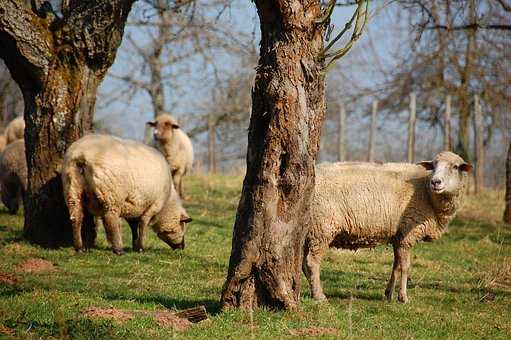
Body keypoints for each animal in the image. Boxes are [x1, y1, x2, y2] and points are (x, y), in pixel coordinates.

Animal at [61, 134, 193, 254]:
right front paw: (140, 247)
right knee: (111, 219)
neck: (167, 203)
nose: (182, 247)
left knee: (76, 217)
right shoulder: (153, 206)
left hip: (72, 190)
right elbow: (142, 224)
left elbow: (133, 226)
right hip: (112, 195)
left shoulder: (133, 206)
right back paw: (118, 249)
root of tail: (81, 155)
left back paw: (80, 248)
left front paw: (134, 245)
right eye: (182, 226)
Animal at [304, 151, 472, 302]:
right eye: (434, 165)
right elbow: (405, 267)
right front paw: (403, 297)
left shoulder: (398, 236)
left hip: (310, 231)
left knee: (304, 264)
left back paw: (312, 291)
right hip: (322, 228)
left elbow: (396, 267)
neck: (426, 193)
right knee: (312, 262)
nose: (436, 182)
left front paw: (389, 294)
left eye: (455, 167)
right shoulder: (407, 235)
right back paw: (319, 296)